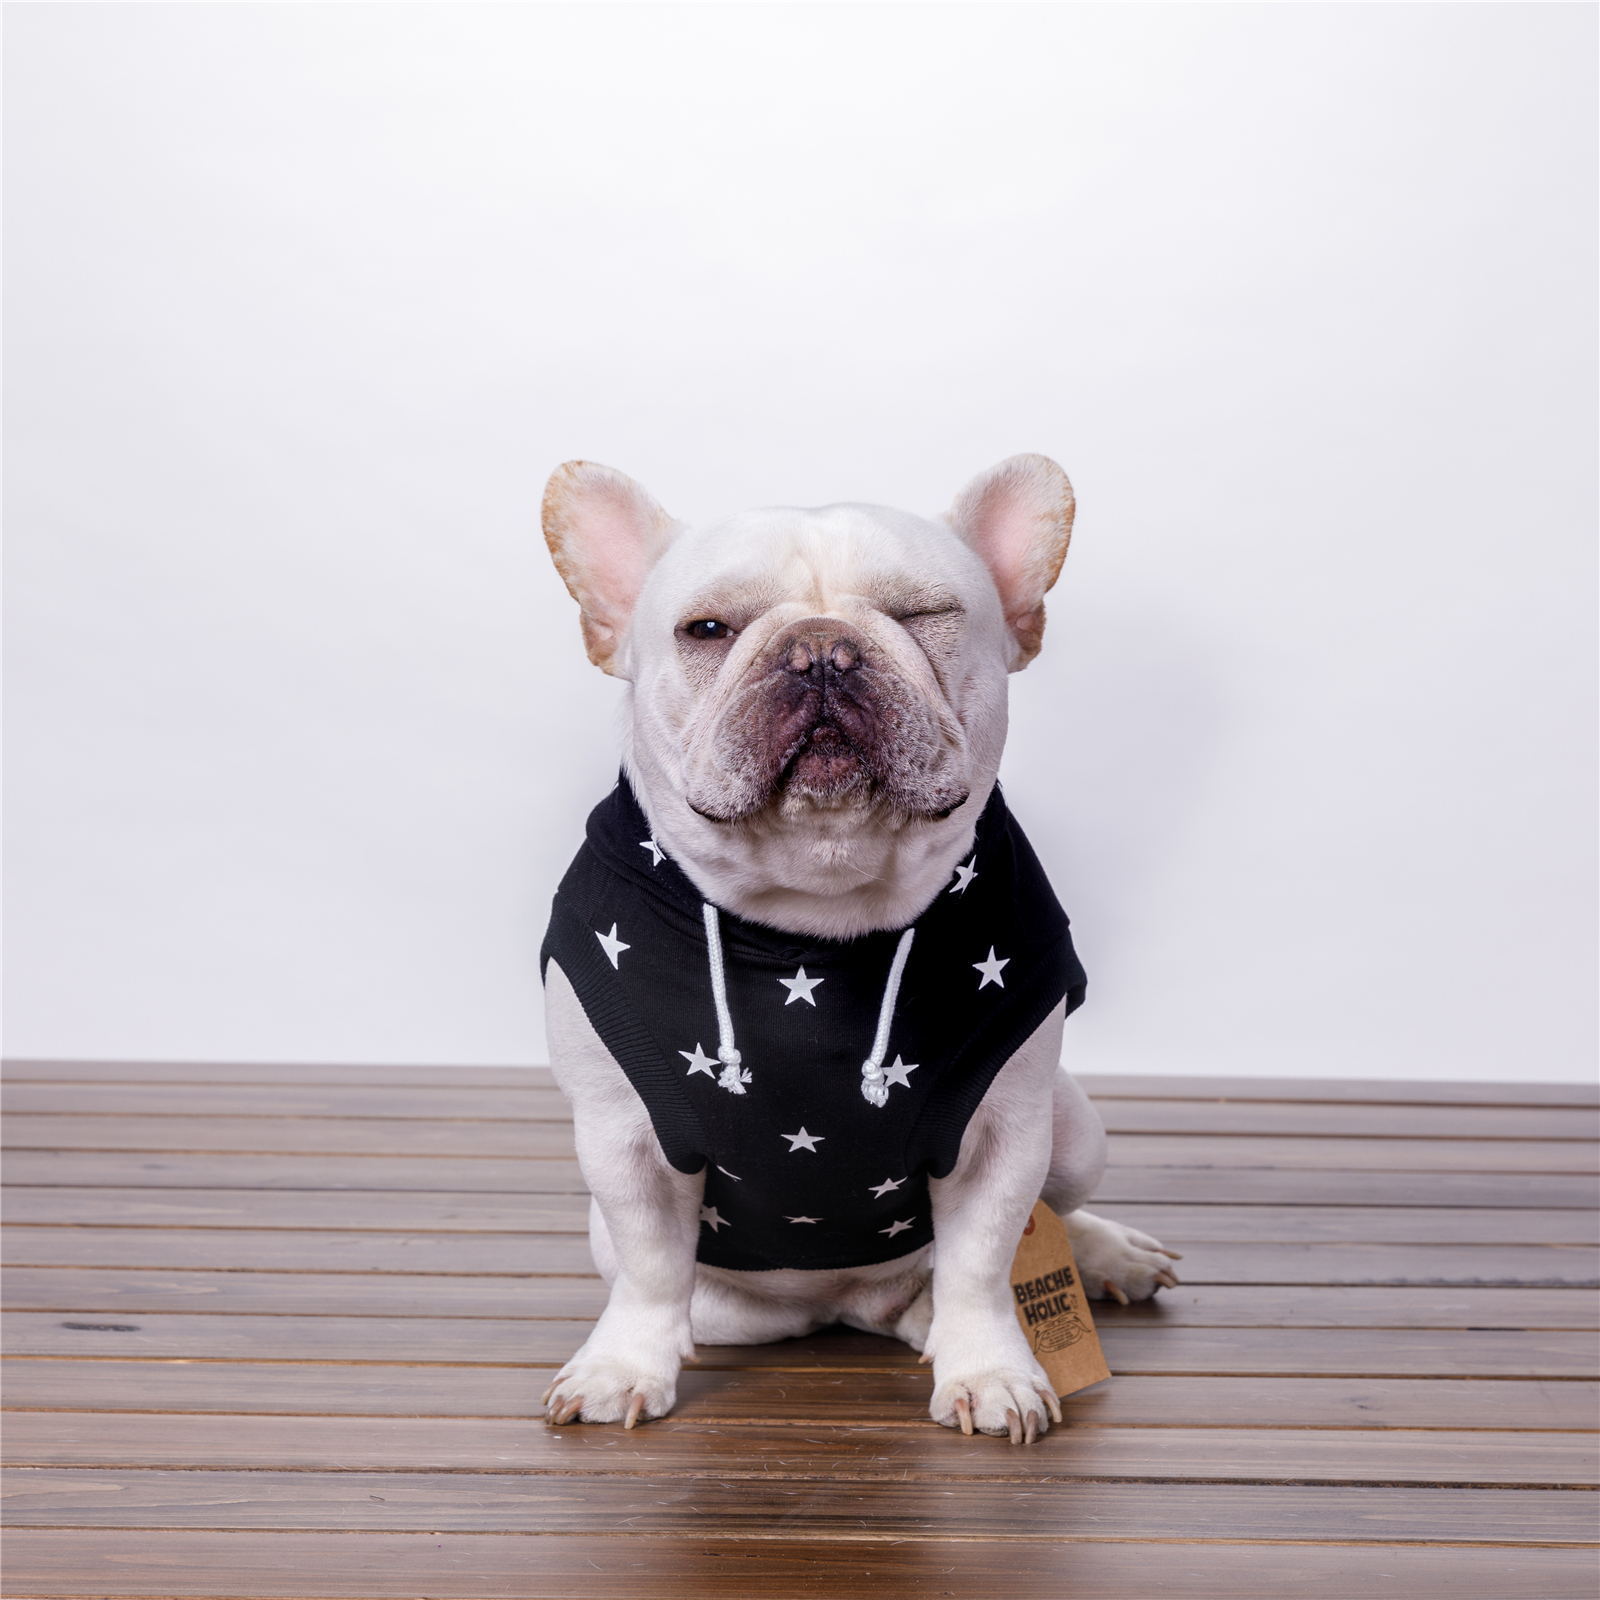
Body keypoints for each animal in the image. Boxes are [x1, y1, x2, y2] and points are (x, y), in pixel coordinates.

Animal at [536, 454, 1176, 1444]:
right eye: (707, 629)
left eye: (923, 615)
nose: (821, 650)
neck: (815, 913)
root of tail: (844, 1305)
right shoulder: (622, 1139)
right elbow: (648, 1268)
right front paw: (620, 1366)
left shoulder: (1007, 1130)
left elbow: (984, 1261)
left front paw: (989, 1370)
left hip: (1076, 1130)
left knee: (1038, 1226)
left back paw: (1104, 1257)